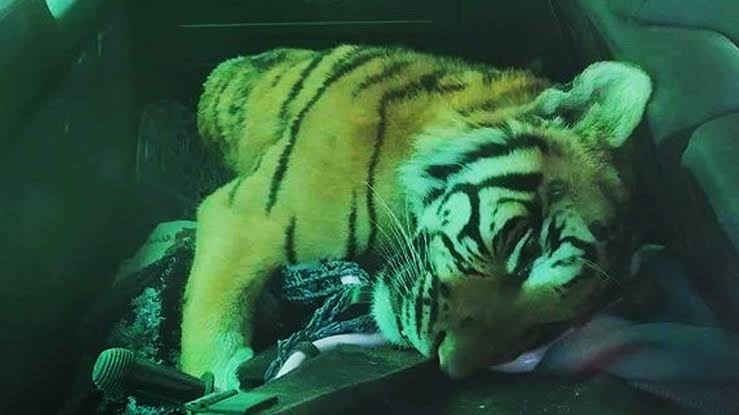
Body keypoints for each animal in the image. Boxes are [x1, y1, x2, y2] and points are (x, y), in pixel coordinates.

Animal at [180, 44, 652, 389]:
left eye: (542, 329)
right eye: (530, 250)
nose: (447, 364)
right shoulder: (246, 217)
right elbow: (212, 325)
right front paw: (217, 379)